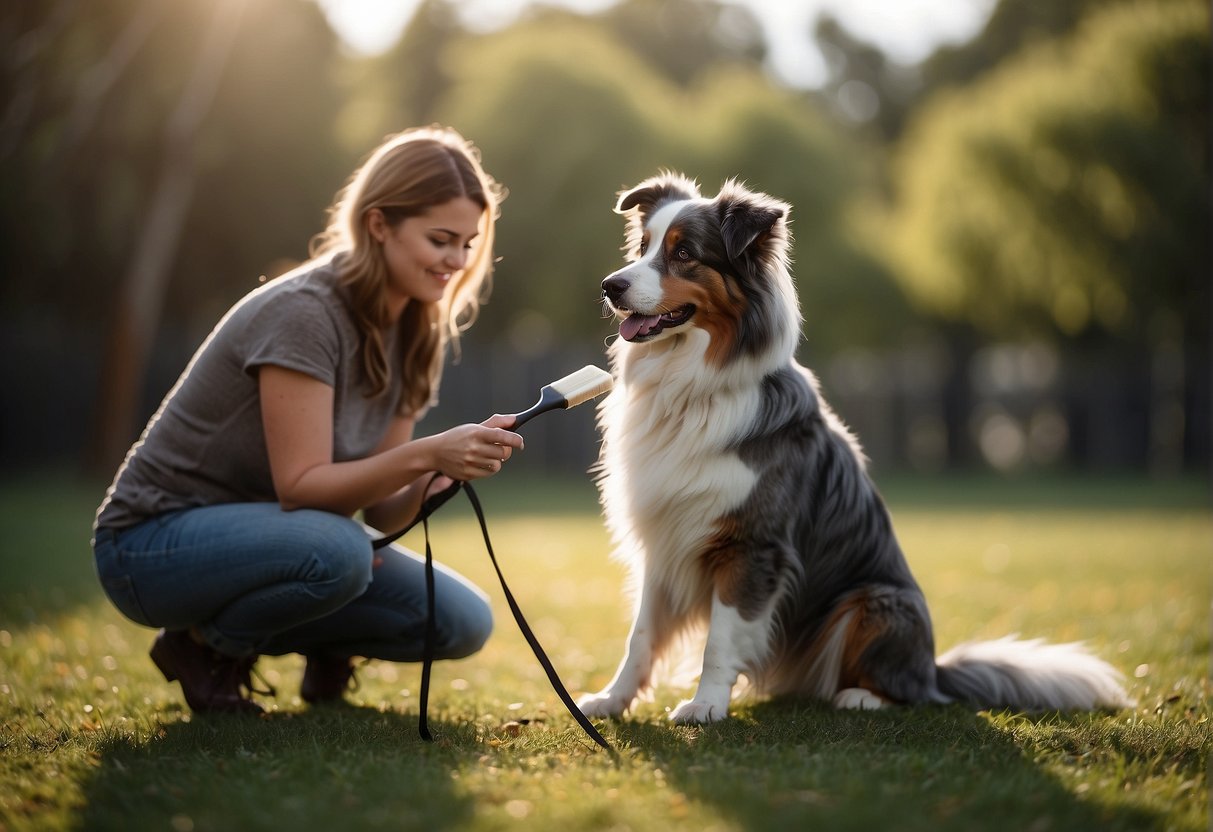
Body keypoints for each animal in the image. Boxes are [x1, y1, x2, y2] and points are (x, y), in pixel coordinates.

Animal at [572, 174, 1130, 722]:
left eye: (684, 253)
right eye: (642, 248)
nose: (609, 286)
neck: (691, 387)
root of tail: (933, 668)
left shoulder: (753, 546)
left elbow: (721, 640)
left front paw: (706, 705)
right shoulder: (663, 538)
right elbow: (641, 636)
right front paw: (611, 700)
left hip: (875, 601)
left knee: (906, 692)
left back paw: (862, 697)